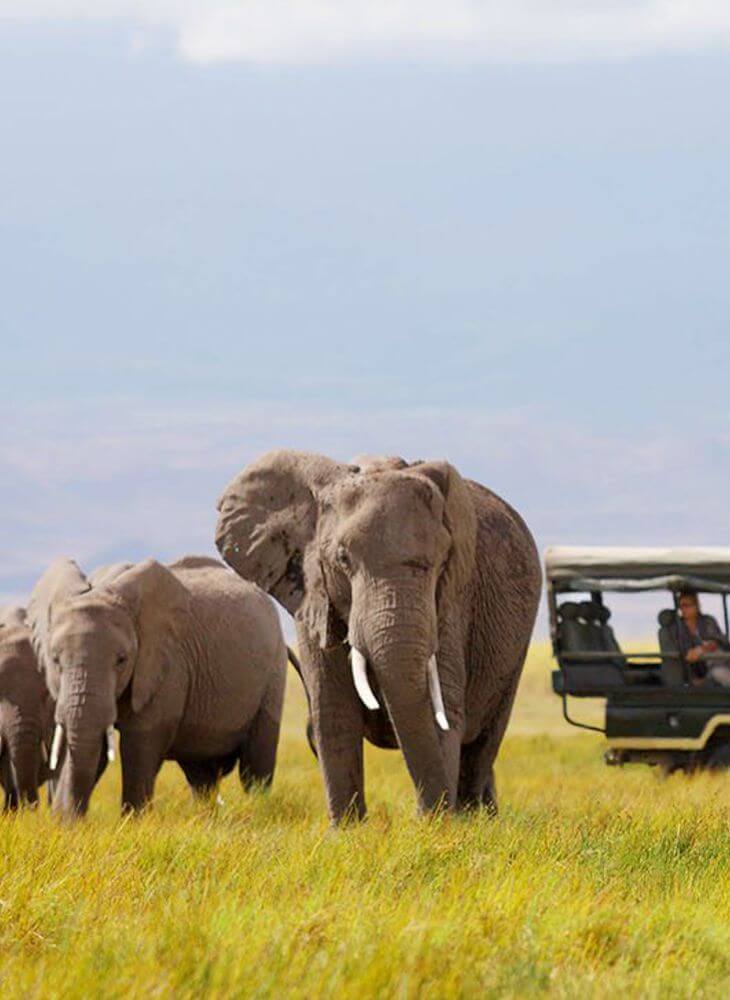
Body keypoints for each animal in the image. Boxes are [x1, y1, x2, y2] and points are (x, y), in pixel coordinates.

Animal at [28, 556, 290, 820]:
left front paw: (132, 823)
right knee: (201, 776)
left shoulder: (166, 665)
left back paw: (258, 810)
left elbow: (139, 743)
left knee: (255, 768)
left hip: (274, 672)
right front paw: (68, 824)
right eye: (55, 660)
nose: (64, 817)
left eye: (122, 660)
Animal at [213, 452, 536, 820]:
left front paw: (438, 826)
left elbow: (441, 707)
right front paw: (348, 828)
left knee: (484, 741)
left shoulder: (452, 601)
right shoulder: (313, 595)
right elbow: (333, 711)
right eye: (342, 559)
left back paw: (475, 818)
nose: (431, 814)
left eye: (441, 561)